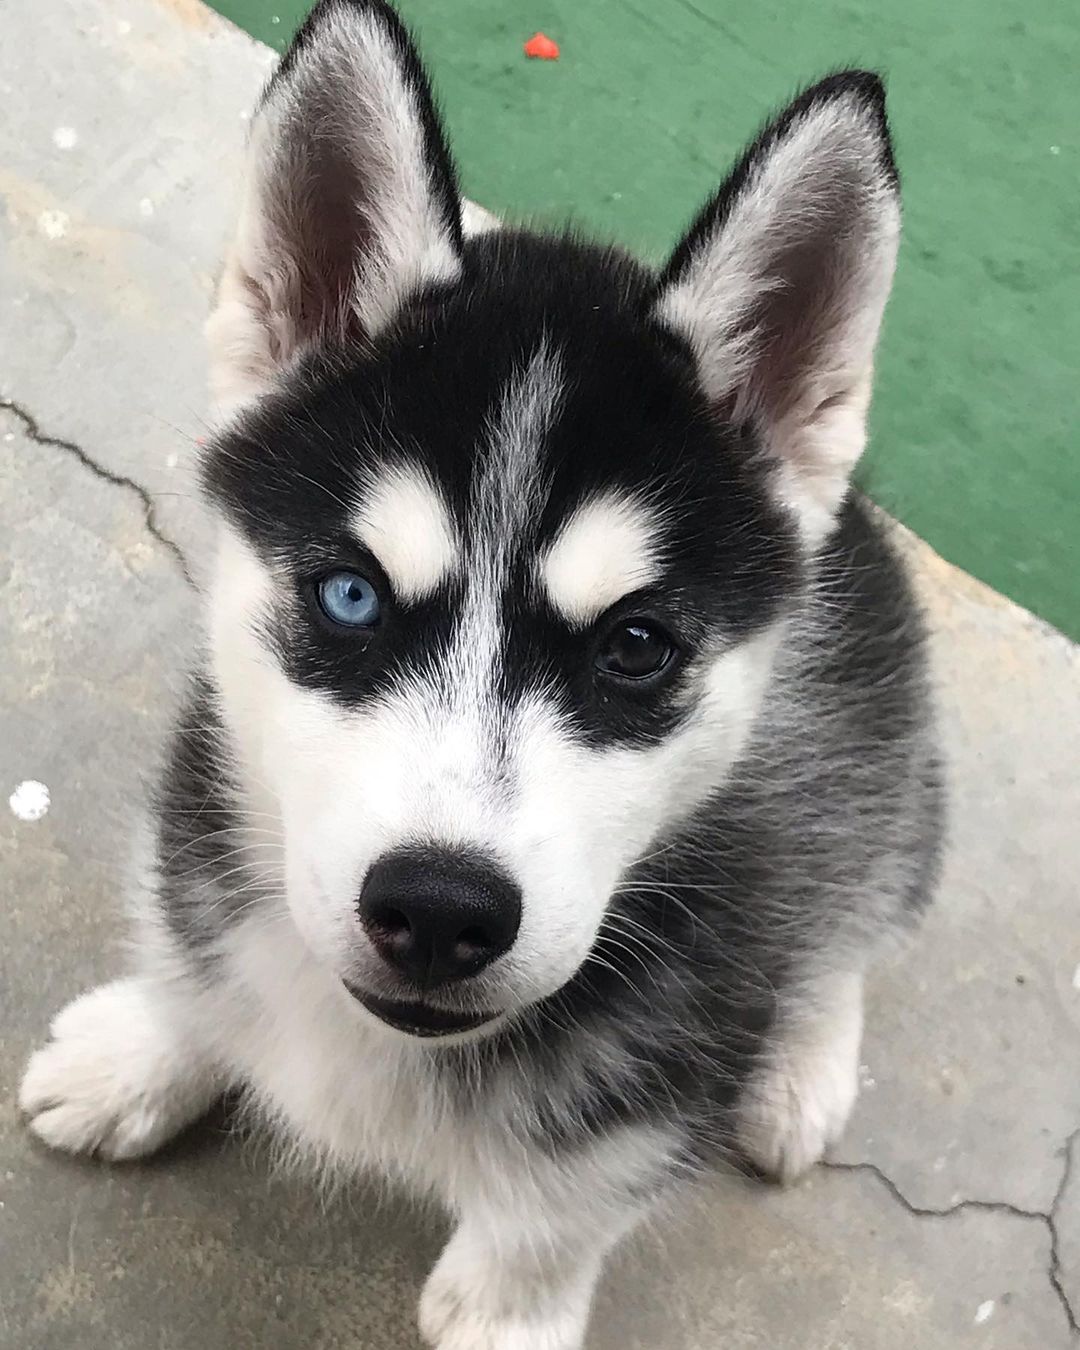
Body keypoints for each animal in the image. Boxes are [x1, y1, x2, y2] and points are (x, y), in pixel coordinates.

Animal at [21, 5, 939, 1344]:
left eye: (636, 647)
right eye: (350, 594)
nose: (442, 909)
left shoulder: (672, 1049)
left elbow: (572, 1198)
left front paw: (514, 1299)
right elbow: (195, 954)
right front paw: (148, 1048)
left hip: (886, 751)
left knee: (860, 904)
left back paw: (802, 1069)